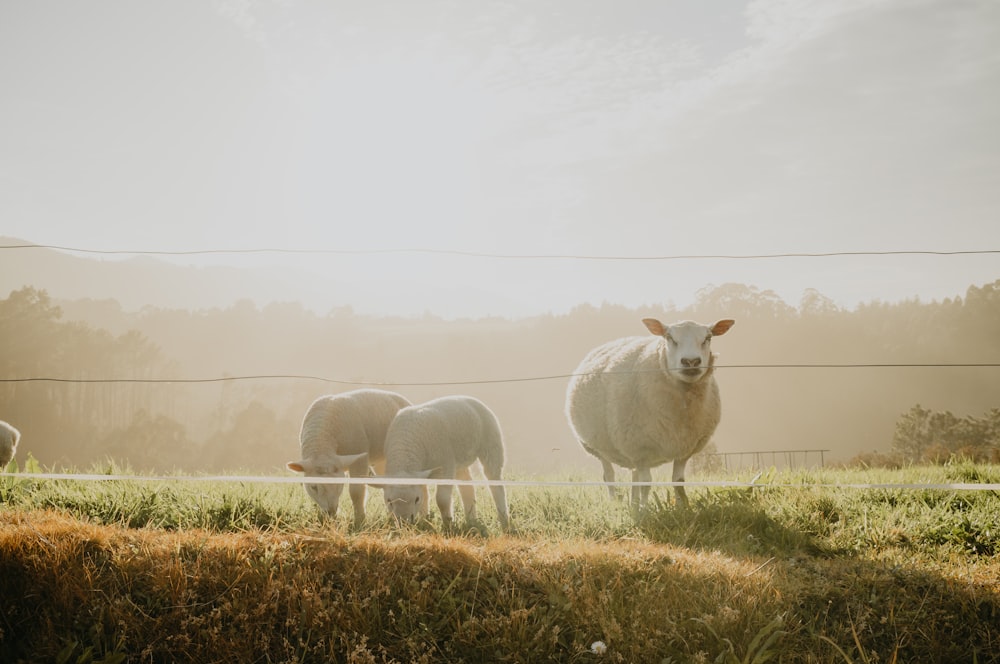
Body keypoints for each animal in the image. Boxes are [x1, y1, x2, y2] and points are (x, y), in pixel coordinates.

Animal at [288, 390, 412, 524]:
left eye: (339, 484)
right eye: (313, 487)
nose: (331, 511)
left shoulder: (360, 457)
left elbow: (356, 491)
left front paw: (359, 520)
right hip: (382, 460)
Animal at [378, 396, 512, 532]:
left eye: (416, 499)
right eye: (389, 501)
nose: (404, 523)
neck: (405, 446)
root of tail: (467, 398)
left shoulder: (445, 465)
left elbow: (441, 500)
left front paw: (448, 524)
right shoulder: (422, 472)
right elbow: (425, 494)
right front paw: (424, 521)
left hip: (491, 442)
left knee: (495, 481)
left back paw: (504, 521)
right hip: (459, 460)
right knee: (467, 485)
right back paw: (471, 521)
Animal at [568, 316, 740, 508]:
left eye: (708, 338)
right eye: (669, 337)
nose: (691, 362)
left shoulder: (684, 449)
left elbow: (678, 482)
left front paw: (682, 507)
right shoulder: (640, 448)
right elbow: (646, 484)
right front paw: (646, 510)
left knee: (634, 476)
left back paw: (634, 503)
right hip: (599, 446)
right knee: (609, 476)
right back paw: (616, 503)